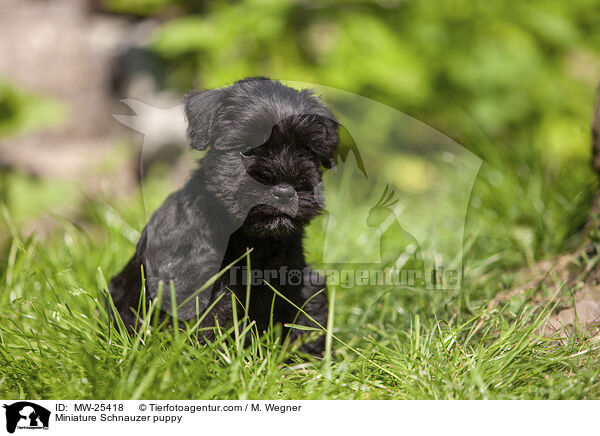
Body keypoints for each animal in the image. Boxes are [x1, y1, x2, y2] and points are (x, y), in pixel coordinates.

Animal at [108, 76, 340, 356]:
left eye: (306, 151)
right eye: (247, 149)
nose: (285, 192)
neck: (252, 239)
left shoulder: (299, 280)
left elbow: (308, 315)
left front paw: (311, 359)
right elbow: (212, 323)